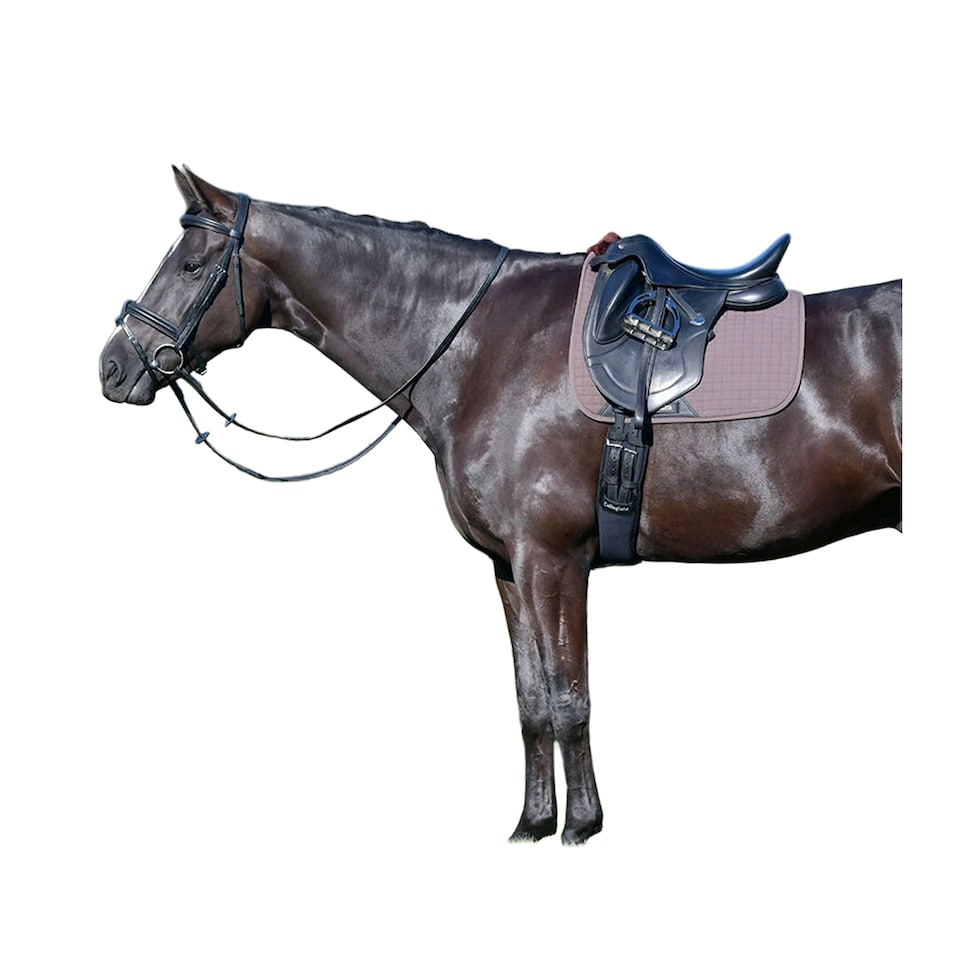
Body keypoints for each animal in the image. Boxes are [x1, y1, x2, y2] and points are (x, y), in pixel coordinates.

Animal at [99, 168, 902, 844]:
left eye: (192, 265)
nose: (112, 367)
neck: (483, 347)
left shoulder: (554, 561)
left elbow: (570, 698)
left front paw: (581, 828)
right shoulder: (510, 570)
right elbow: (531, 703)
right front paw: (532, 824)